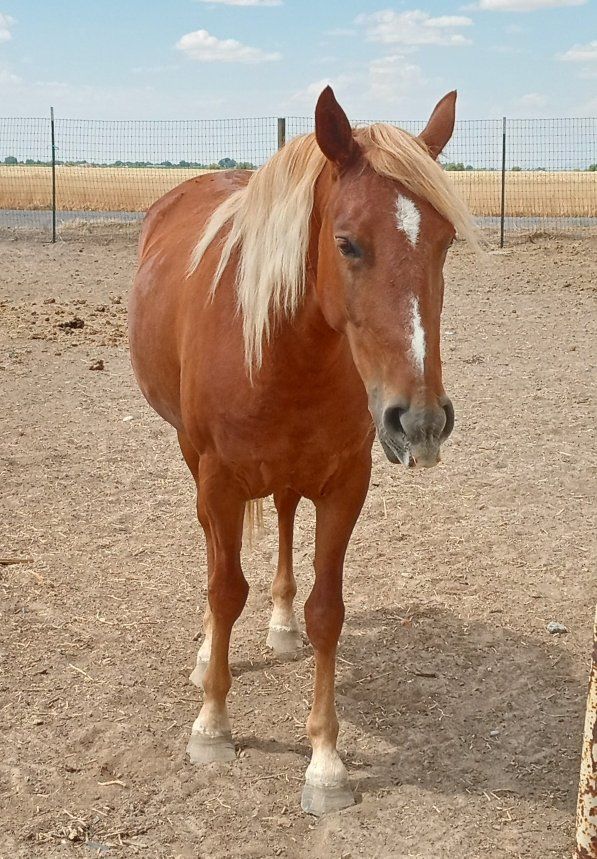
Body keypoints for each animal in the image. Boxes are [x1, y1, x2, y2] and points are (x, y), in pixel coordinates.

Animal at [129, 86, 478, 816]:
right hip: (193, 458)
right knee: (213, 552)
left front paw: (324, 761)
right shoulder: (218, 479)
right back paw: (207, 652)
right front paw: (212, 724)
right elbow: (224, 586)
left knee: (287, 517)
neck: (280, 346)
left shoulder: (346, 482)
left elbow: (328, 611)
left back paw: (280, 623)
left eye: (445, 241)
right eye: (347, 243)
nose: (421, 421)